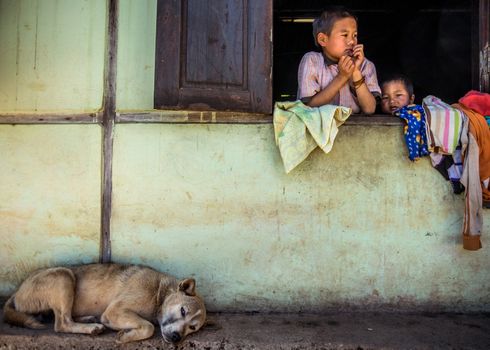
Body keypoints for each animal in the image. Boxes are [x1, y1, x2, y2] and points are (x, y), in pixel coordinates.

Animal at [1, 264, 205, 344]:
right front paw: (126, 336)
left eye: (193, 328)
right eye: (183, 311)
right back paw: (91, 327)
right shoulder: (114, 311)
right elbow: (148, 327)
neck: (159, 293)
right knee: (62, 323)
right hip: (64, 276)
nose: (177, 338)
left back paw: (88, 319)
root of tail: (17, 291)